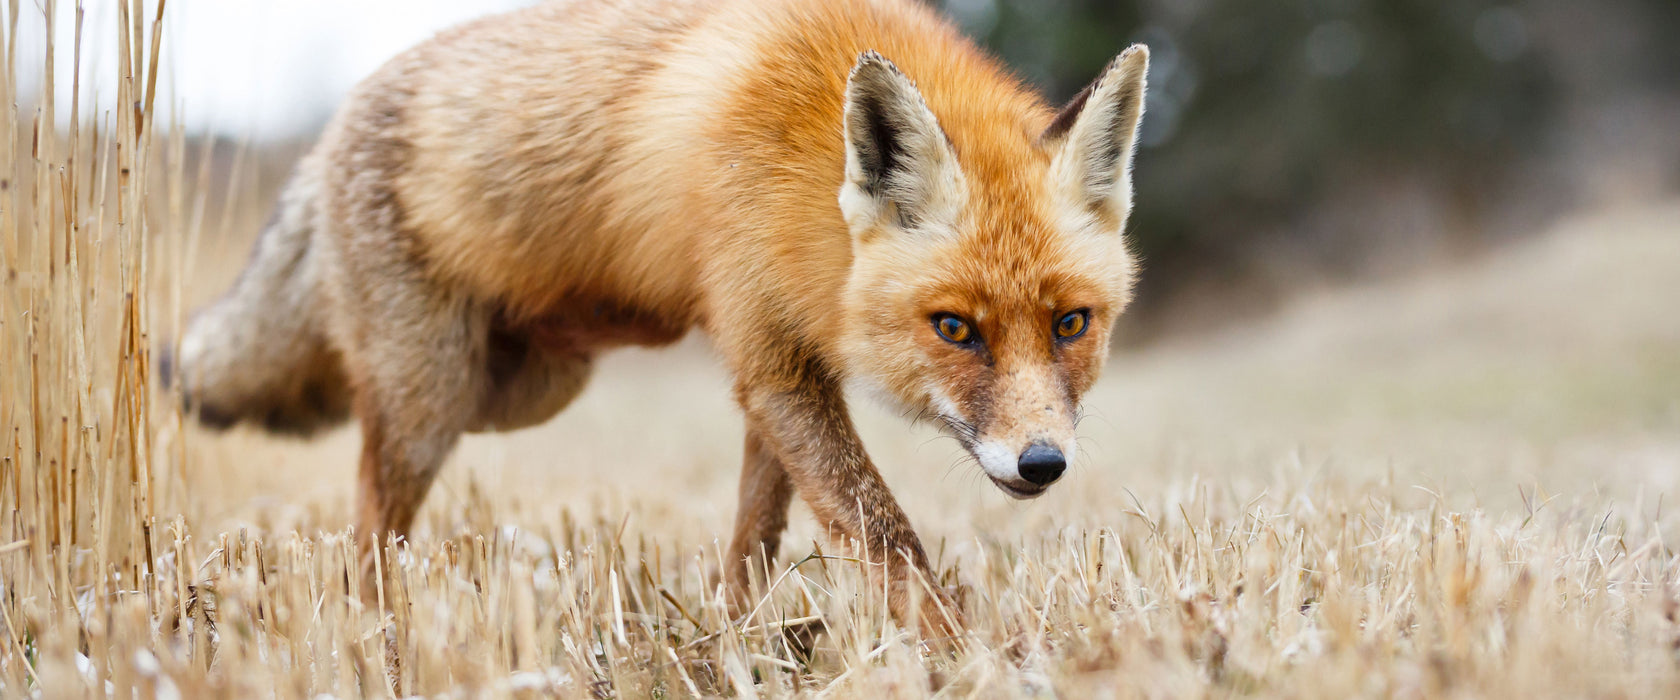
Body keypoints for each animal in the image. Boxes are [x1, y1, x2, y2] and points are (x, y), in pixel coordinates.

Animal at [170, 0, 1149, 631]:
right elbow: (883, 533)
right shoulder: (771, 361)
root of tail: (328, 130)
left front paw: (736, 640)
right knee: (368, 524)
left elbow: (757, 539)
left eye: (1071, 324)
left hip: (523, 386)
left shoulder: (782, 370)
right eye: (954, 329)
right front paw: (960, 655)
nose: (1042, 463)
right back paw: (371, 630)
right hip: (431, 403)